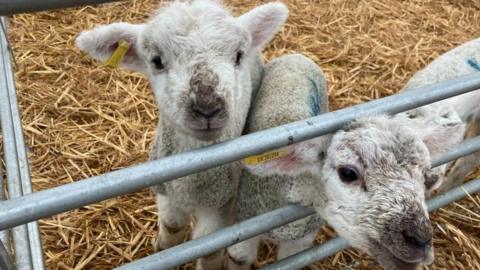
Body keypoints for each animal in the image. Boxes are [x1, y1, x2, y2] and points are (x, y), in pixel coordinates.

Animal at [73, 1, 286, 268]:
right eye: (156, 61)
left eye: (238, 55)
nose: (207, 107)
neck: (190, 172)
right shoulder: (167, 190)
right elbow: (172, 226)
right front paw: (162, 249)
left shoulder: (220, 203)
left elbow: (209, 249)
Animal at [228, 53, 464, 270]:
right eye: (348, 173)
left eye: (423, 175)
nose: (419, 240)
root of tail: (298, 56)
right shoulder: (244, 226)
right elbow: (240, 258)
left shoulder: (300, 243)